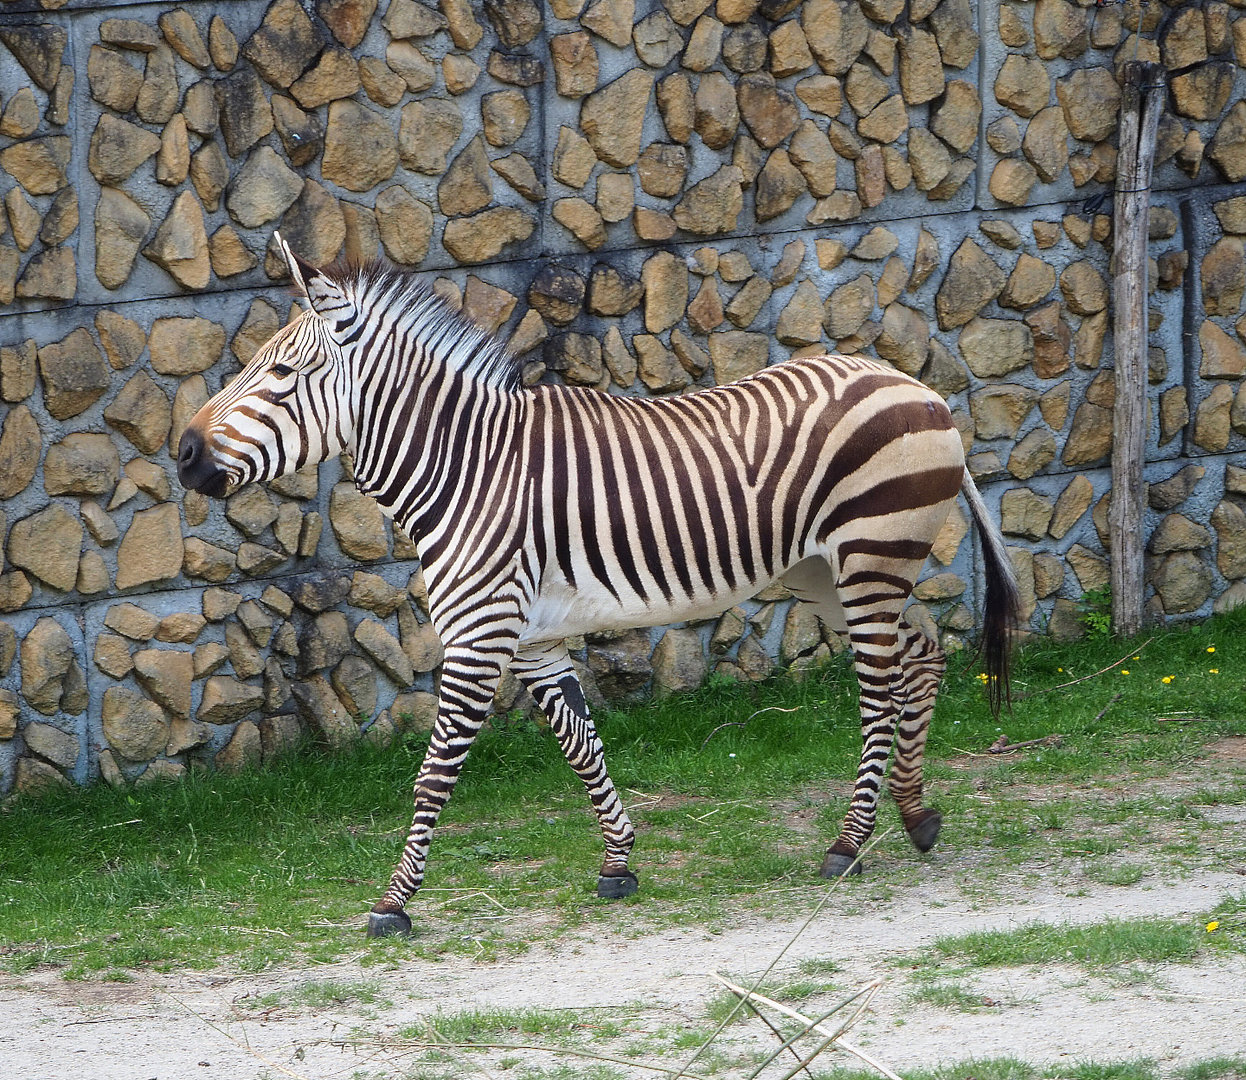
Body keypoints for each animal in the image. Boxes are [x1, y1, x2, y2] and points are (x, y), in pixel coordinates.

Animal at [178, 235, 1018, 938]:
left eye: (282, 375)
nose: (182, 452)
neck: (465, 470)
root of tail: (917, 386)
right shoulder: (532, 640)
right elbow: (582, 746)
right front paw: (619, 861)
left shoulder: (480, 635)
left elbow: (434, 773)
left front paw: (394, 901)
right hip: (828, 572)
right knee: (923, 653)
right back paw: (915, 815)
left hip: (871, 552)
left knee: (880, 690)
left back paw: (850, 843)